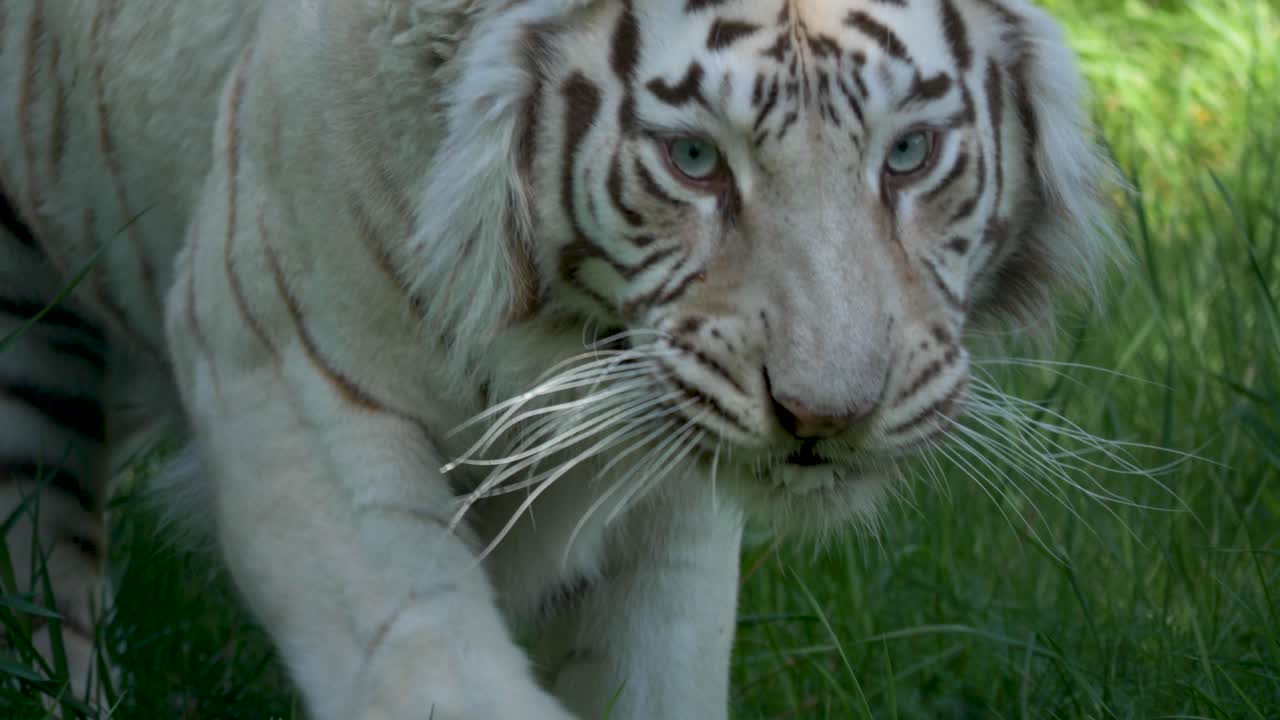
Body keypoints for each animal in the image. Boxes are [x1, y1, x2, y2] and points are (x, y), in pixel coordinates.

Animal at [0, 0, 1114, 717]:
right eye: (693, 160)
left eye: (909, 153)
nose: (828, 417)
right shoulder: (283, 371)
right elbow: (425, 659)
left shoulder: (672, 493)